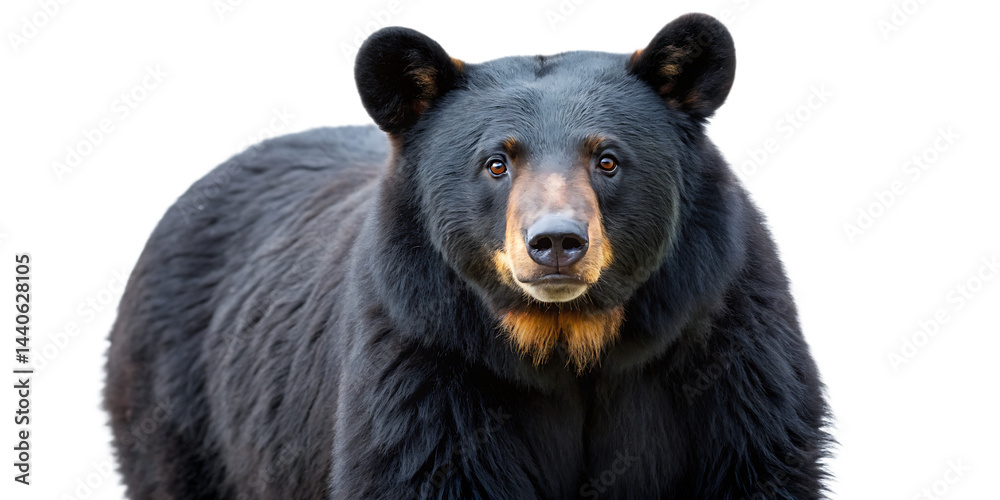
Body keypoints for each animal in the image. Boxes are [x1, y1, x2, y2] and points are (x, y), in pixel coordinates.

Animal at [104, 12, 831, 499]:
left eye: (608, 159)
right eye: (496, 162)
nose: (556, 243)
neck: (568, 335)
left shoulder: (725, 343)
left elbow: (758, 453)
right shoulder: (424, 353)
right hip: (178, 405)